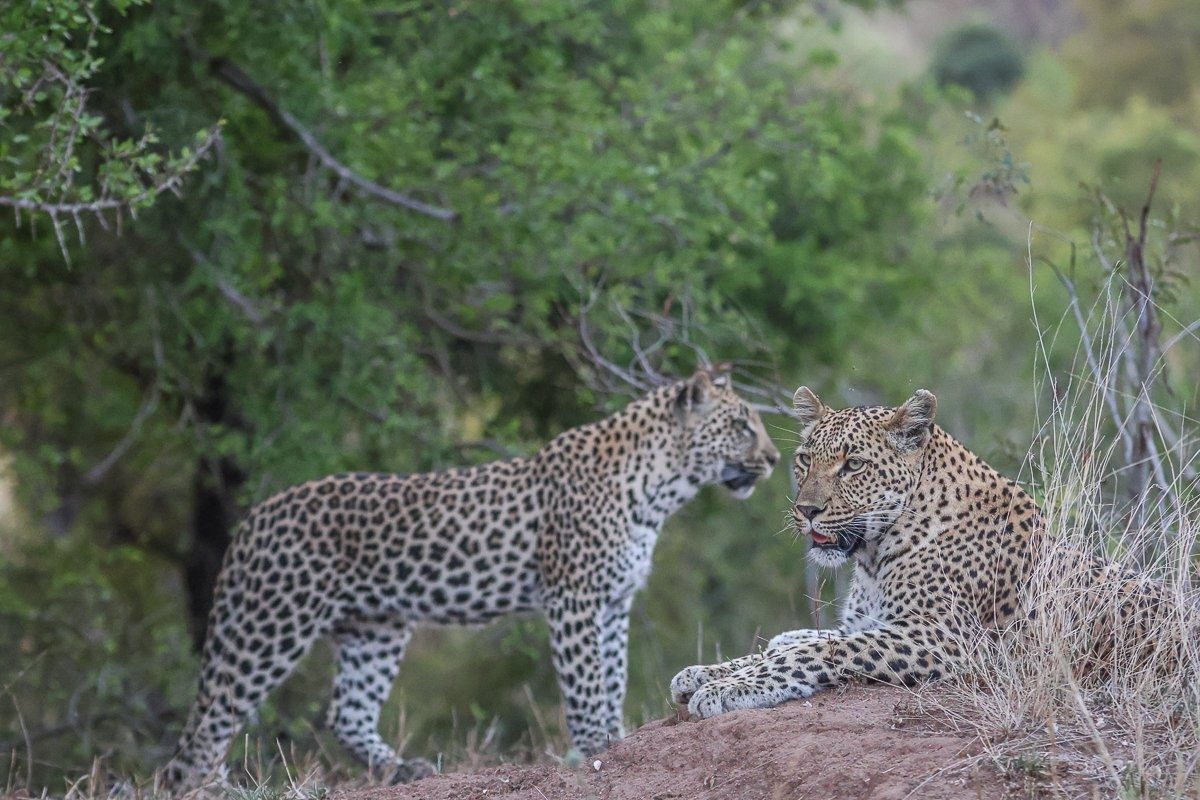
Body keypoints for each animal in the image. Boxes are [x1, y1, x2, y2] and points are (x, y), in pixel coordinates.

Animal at [162, 369, 779, 791]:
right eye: (740, 426)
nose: (773, 459)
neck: (662, 488)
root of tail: (254, 518)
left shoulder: (613, 603)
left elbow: (612, 677)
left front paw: (615, 741)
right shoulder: (574, 598)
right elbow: (584, 683)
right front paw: (591, 751)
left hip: (375, 628)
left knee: (347, 714)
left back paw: (404, 769)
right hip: (271, 626)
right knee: (202, 734)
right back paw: (206, 788)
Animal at [670, 386, 1171, 720]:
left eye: (853, 465)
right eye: (805, 460)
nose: (806, 510)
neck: (874, 556)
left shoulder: (943, 637)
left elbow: (817, 652)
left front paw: (728, 688)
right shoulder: (872, 621)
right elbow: (791, 644)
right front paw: (702, 672)